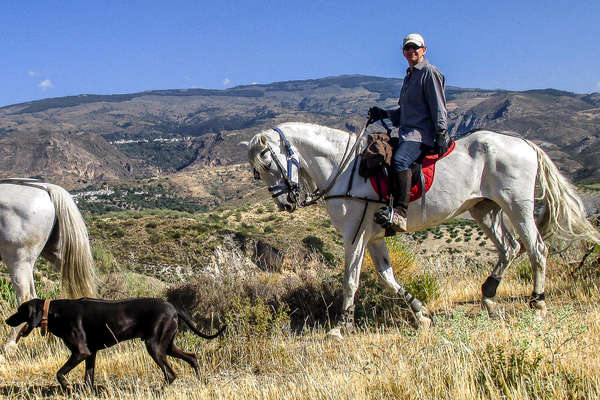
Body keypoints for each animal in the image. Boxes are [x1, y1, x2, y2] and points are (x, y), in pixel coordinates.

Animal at [5, 298, 226, 390]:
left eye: (20, 311)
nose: (7, 320)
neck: (54, 312)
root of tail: (173, 307)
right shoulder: (91, 354)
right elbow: (88, 378)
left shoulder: (80, 352)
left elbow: (59, 373)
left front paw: (67, 386)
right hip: (167, 345)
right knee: (192, 357)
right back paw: (200, 381)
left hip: (154, 346)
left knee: (171, 374)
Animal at [244, 121, 600, 338]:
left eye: (267, 162)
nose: (285, 203)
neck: (344, 169)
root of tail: (524, 143)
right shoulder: (373, 237)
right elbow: (388, 277)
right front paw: (422, 314)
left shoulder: (354, 236)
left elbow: (351, 280)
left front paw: (339, 327)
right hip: (484, 208)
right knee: (510, 247)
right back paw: (488, 297)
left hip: (517, 205)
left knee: (536, 249)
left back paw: (537, 304)